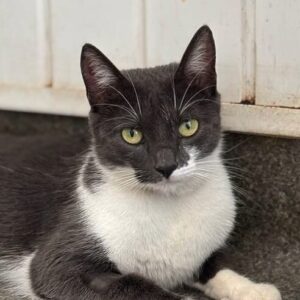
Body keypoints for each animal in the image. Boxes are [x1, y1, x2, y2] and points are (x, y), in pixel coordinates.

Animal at [0, 25, 282, 300]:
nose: (166, 165)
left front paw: (254, 289)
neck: (170, 209)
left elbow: (215, 265)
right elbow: (132, 285)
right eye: (131, 134)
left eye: (188, 126)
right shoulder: (60, 263)